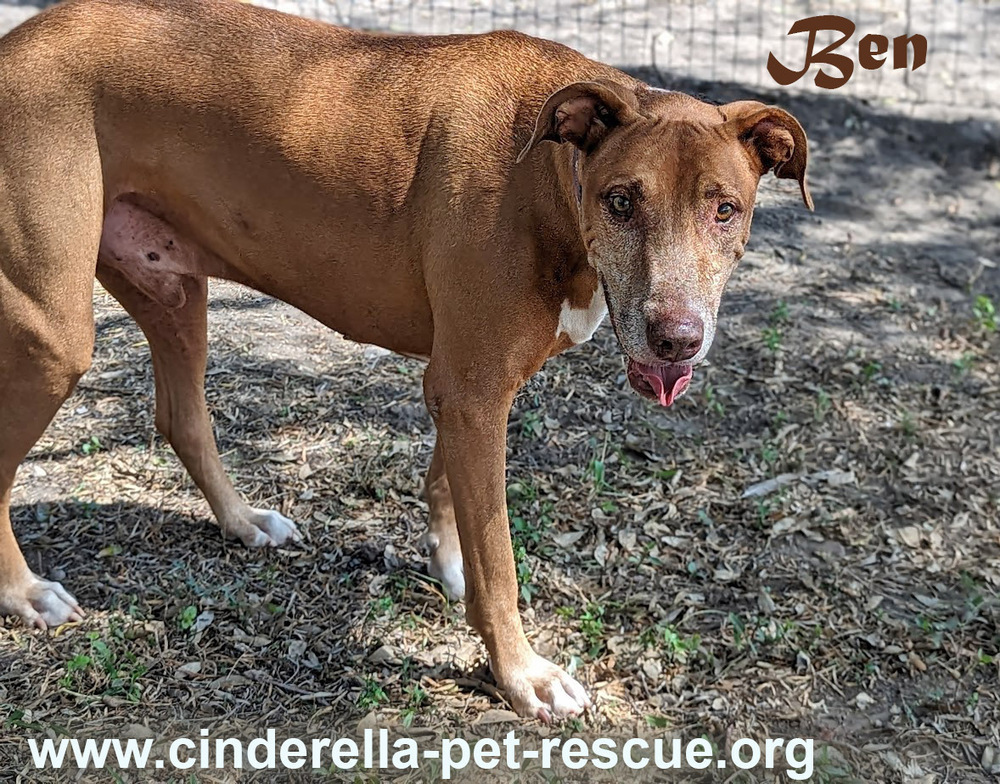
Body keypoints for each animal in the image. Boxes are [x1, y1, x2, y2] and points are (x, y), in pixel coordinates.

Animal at [0, 0, 808, 724]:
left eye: (725, 209)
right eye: (620, 201)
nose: (677, 337)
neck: (549, 178)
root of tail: (17, 43)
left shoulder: (464, 389)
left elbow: (450, 492)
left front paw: (450, 568)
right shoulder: (474, 390)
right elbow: (500, 561)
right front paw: (522, 675)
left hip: (172, 291)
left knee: (182, 418)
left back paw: (243, 521)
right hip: (55, 334)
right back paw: (23, 592)